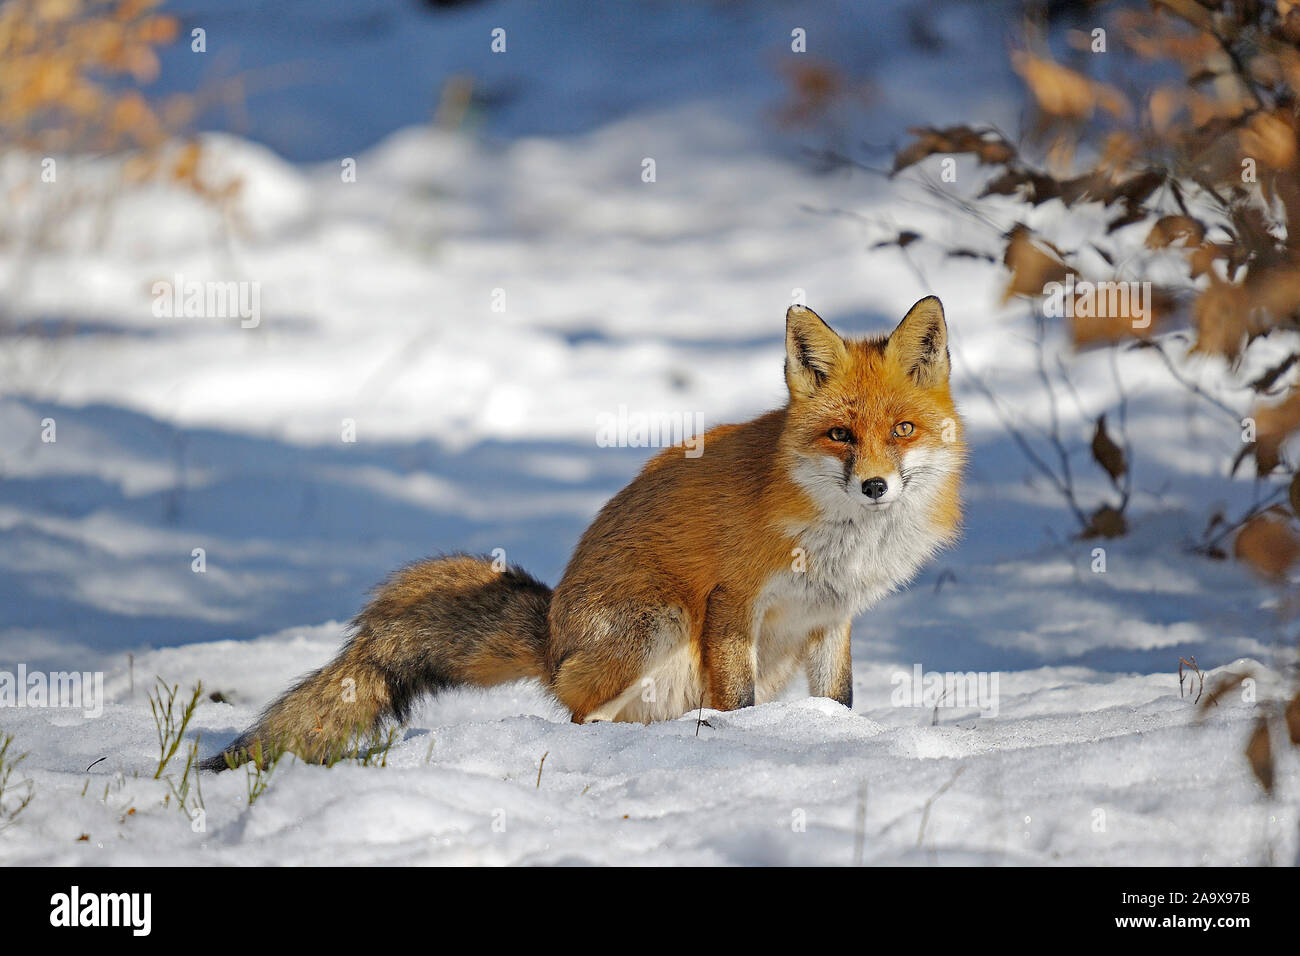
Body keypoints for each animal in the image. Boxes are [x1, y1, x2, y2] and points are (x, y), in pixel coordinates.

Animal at [197, 299, 961, 770]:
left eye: (902, 430)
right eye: (840, 435)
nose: (875, 487)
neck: (840, 540)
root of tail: (552, 632)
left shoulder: (830, 616)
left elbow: (840, 701)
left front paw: (837, 741)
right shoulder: (729, 598)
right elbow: (736, 702)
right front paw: (742, 748)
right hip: (657, 623)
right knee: (576, 717)